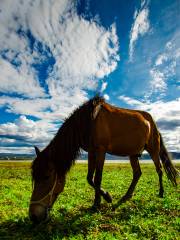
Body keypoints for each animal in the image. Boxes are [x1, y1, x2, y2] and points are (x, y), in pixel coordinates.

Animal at [28, 95, 178, 223]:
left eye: (47, 177)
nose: (33, 216)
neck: (89, 121)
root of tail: (152, 123)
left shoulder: (101, 151)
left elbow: (97, 178)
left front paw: (101, 201)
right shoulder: (91, 152)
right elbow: (90, 178)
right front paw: (102, 199)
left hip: (153, 150)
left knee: (159, 170)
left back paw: (161, 193)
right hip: (133, 154)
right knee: (137, 173)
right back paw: (126, 196)